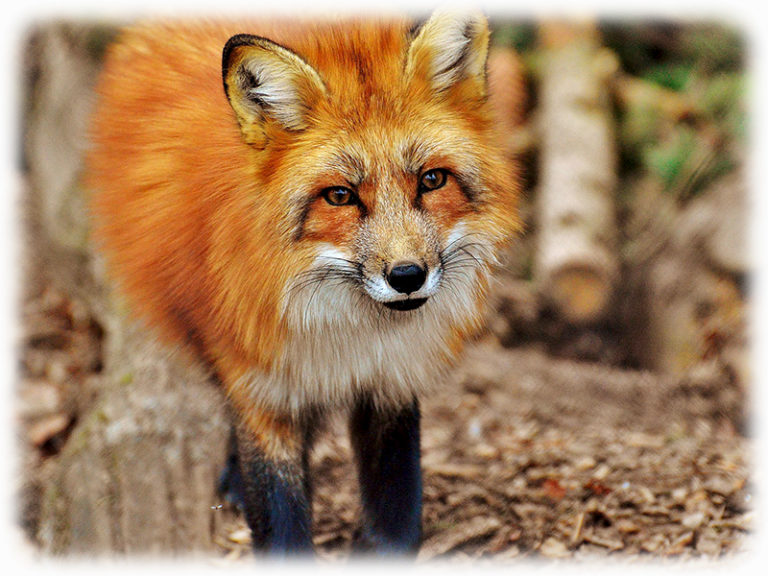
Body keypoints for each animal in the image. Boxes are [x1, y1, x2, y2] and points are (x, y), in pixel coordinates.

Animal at [86, 9, 521, 555]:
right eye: (339, 196)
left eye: (432, 180)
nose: (407, 277)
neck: (349, 333)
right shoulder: (261, 387)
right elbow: (280, 518)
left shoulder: (392, 382)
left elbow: (395, 513)